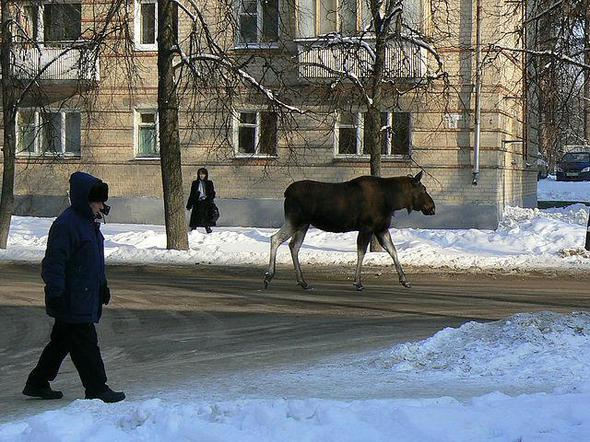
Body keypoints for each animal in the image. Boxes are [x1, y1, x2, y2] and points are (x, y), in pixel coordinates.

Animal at [266, 172, 438, 290]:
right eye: (423, 189)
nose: (432, 207)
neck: (392, 201)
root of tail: (286, 193)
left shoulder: (381, 228)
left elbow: (393, 251)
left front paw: (404, 280)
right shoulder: (367, 227)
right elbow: (361, 252)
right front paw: (358, 282)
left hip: (303, 224)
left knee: (293, 246)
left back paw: (302, 282)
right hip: (295, 220)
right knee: (275, 238)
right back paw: (269, 276)